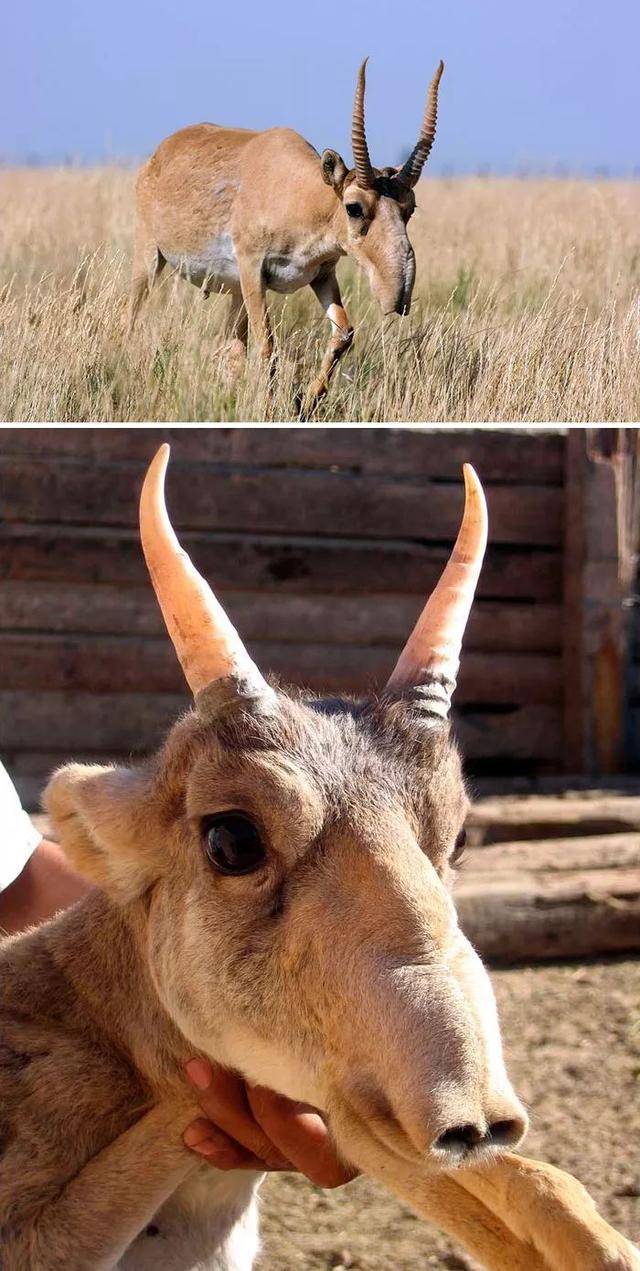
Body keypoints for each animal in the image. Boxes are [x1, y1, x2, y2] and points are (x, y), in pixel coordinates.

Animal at [127, 58, 441, 411]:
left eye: (409, 208)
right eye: (354, 207)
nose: (397, 296)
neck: (299, 194)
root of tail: (162, 151)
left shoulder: (322, 275)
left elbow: (344, 333)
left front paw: (308, 401)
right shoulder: (253, 272)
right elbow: (267, 344)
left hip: (234, 293)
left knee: (232, 349)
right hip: (150, 259)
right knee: (131, 314)